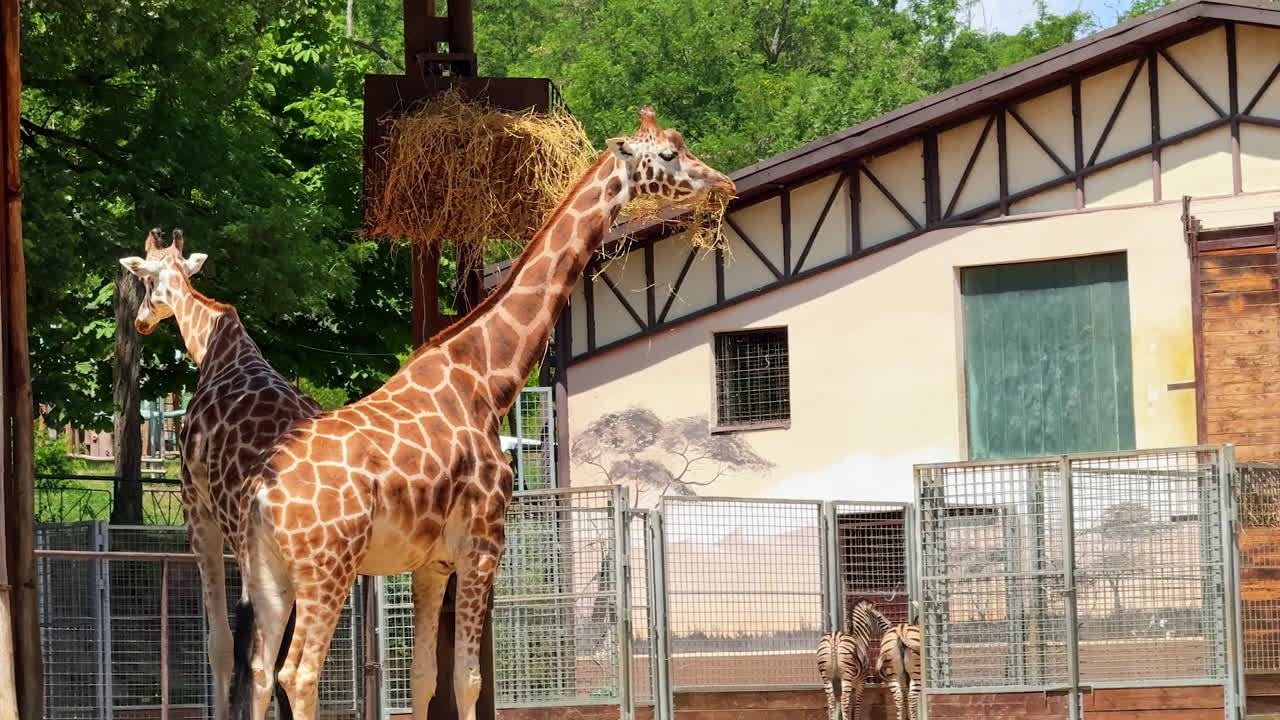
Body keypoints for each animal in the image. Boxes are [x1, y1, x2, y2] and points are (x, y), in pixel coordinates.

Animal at [118, 229, 324, 720]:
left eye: (144, 281)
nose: (141, 321)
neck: (212, 343)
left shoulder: (197, 511)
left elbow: (220, 644)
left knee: (263, 663)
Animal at [226, 106, 735, 720]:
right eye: (667, 155)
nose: (723, 184)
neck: (489, 380)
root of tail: (262, 492)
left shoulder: (430, 562)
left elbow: (424, 677)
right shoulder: (484, 544)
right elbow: (467, 679)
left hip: (267, 574)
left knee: (259, 673)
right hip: (328, 569)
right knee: (298, 674)